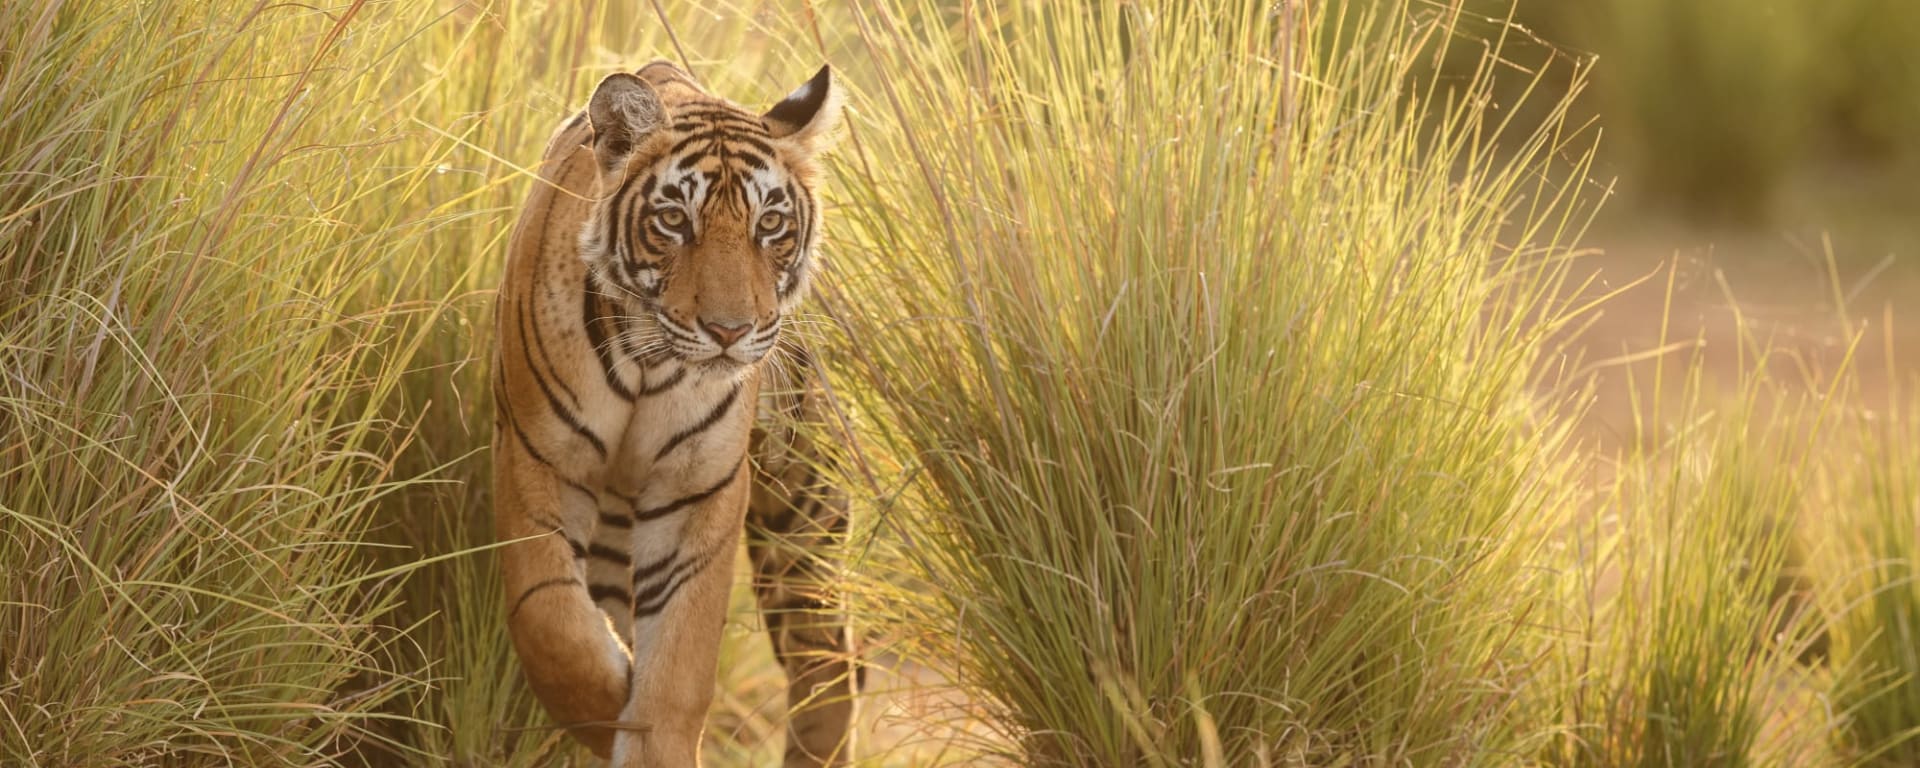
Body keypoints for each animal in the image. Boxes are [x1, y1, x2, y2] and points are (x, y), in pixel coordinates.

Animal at [491, 60, 854, 767]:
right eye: (674, 220)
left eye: (769, 225)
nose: (730, 331)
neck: (647, 364)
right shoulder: (536, 458)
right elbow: (551, 624)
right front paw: (612, 696)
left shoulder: (698, 489)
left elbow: (680, 664)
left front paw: (644, 726)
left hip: (804, 503)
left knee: (826, 658)